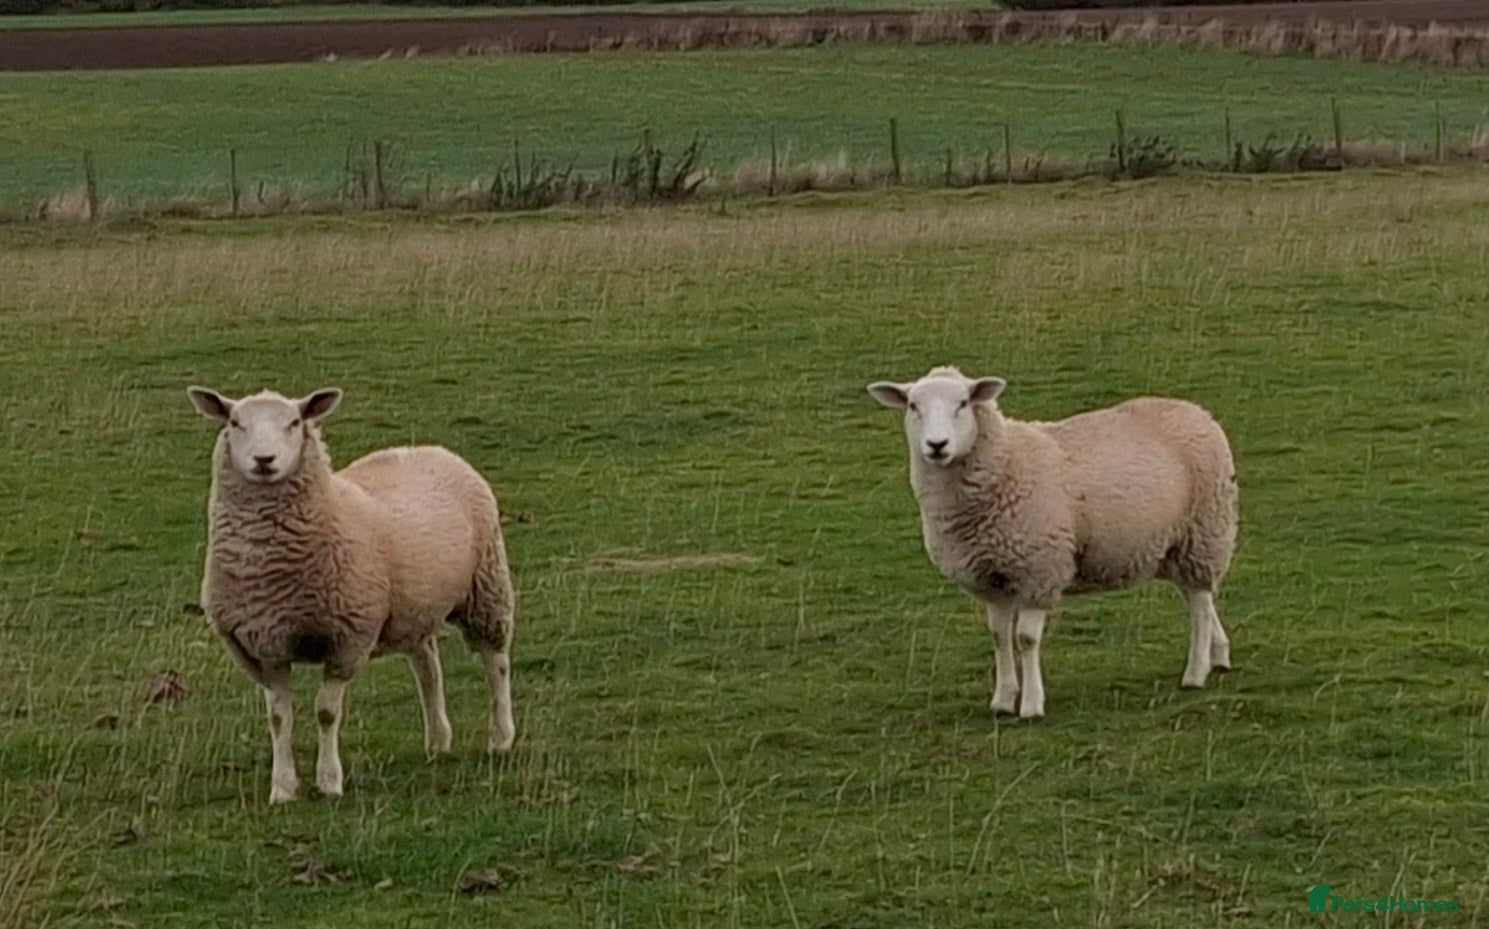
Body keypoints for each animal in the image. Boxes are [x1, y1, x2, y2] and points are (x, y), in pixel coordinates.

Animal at [186, 386, 516, 804]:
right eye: (235, 422)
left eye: (295, 422)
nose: (264, 460)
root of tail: (427, 448)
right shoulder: (265, 646)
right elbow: (278, 718)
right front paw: (282, 788)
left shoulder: (347, 638)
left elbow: (327, 712)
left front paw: (329, 782)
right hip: (412, 609)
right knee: (427, 666)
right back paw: (438, 741)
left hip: (485, 587)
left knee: (495, 663)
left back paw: (501, 737)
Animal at [867, 366, 1237, 719]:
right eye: (913, 406)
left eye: (963, 403)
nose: (937, 445)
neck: (1005, 462)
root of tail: (1197, 411)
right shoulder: (992, 579)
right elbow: (999, 636)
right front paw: (1003, 700)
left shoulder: (1037, 571)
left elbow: (1025, 639)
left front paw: (1031, 705)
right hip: (1173, 546)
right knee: (1198, 599)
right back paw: (1218, 654)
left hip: (1203, 533)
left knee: (1200, 605)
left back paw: (1196, 672)